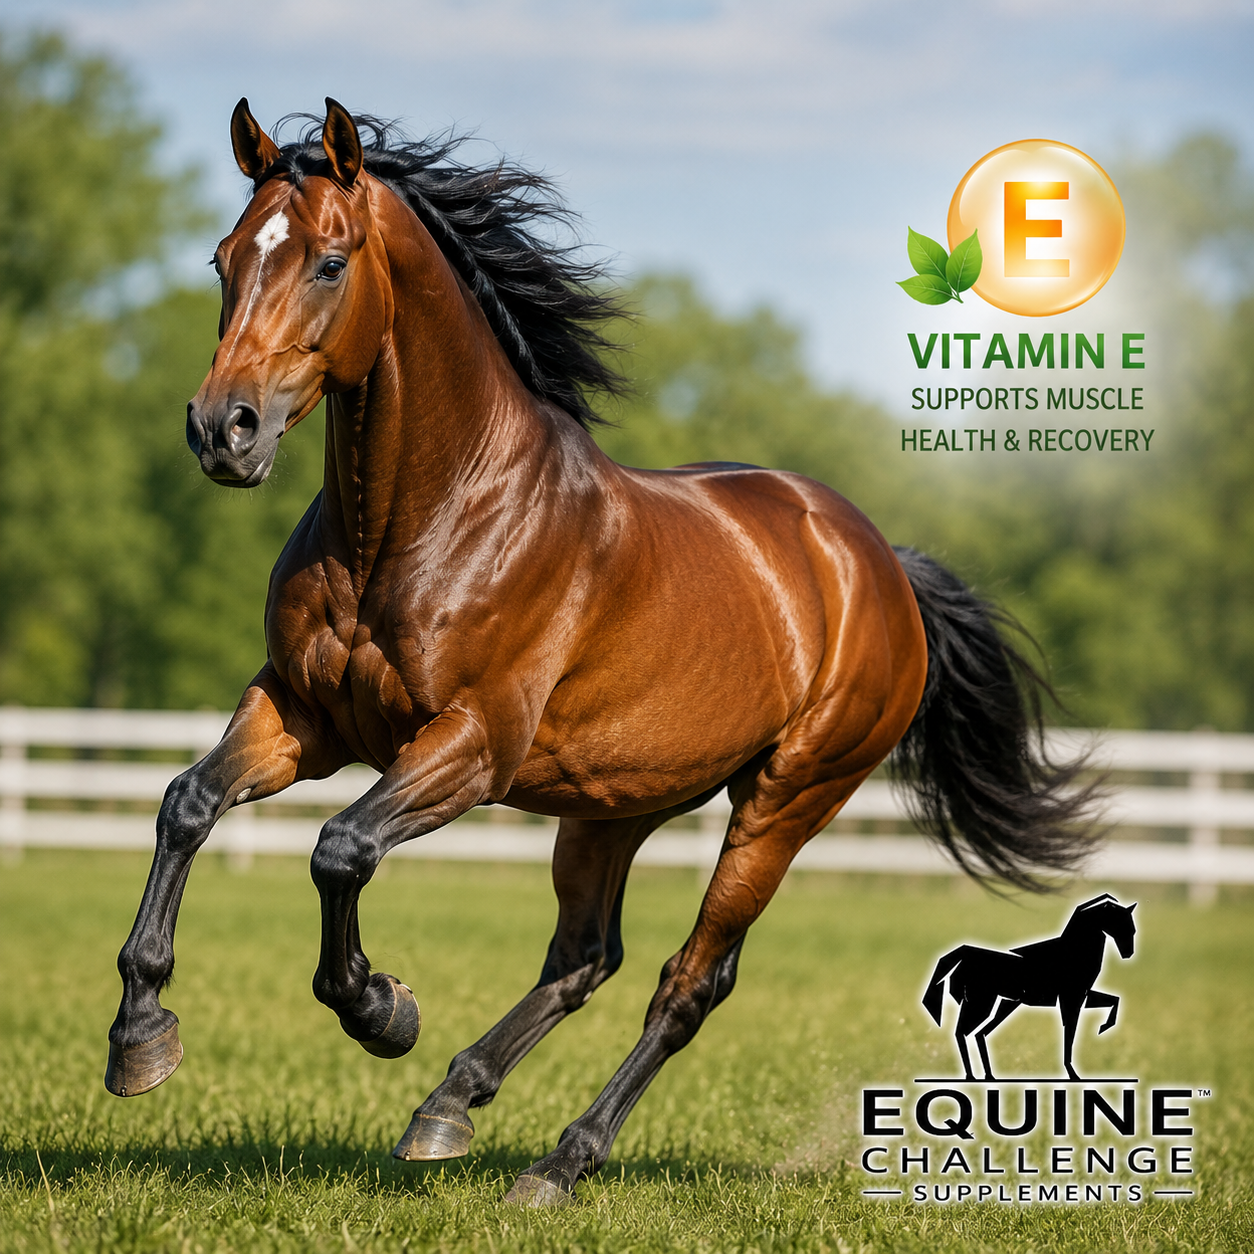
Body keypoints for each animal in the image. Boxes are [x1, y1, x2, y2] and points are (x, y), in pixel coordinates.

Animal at [104, 98, 1096, 1206]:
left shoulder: (470, 747)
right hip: (615, 804)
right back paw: (449, 1107)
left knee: (688, 981)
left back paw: (557, 1161)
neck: (427, 518)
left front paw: (382, 1008)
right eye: (224, 259)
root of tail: (881, 564)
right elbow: (188, 802)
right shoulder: (303, 714)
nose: (222, 430)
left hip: (786, 801)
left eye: (327, 261)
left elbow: (341, 849)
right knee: (584, 957)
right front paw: (141, 1037)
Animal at [922, 893, 1136, 1080]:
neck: (1072, 952)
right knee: (962, 1033)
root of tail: (963, 954)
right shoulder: (1071, 999)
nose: (1128, 954)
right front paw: (1072, 1072)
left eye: (1132, 929)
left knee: (978, 1034)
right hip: (980, 1004)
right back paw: (971, 1076)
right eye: (1120, 925)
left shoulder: (1082, 995)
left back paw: (988, 1076)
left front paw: (1103, 1027)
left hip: (1003, 1005)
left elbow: (1114, 1001)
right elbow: (1069, 1034)